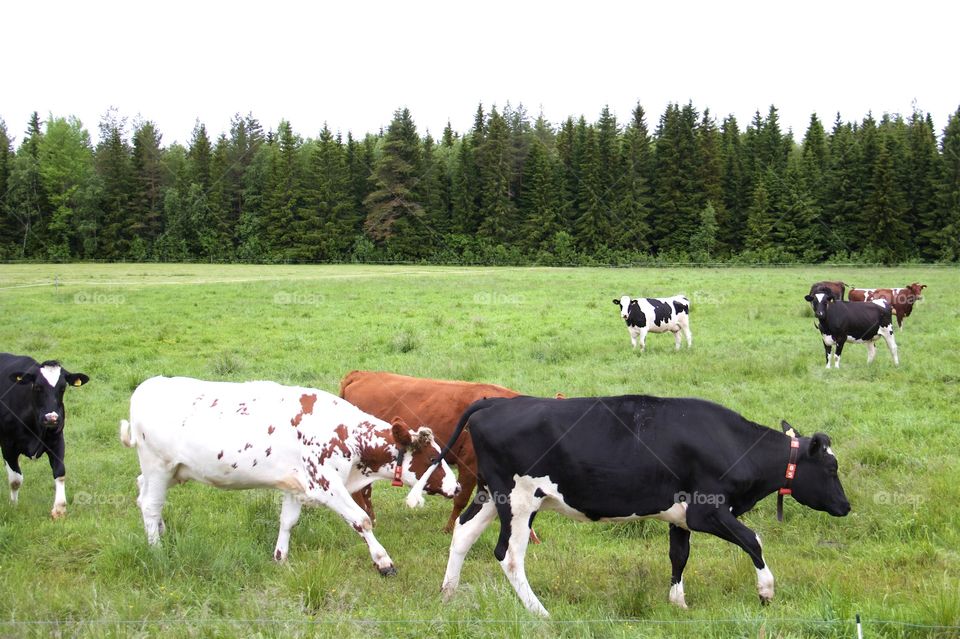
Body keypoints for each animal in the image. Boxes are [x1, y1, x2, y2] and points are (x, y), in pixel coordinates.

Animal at [0, 353, 89, 519]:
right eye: (37, 387)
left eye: (63, 388)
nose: (51, 418)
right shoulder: (8, 444)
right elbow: (15, 479)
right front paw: (13, 506)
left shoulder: (57, 440)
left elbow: (60, 472)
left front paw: (59, 509)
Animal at [120, 376, 458, 574]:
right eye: (432, 457)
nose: (455, 486)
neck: (345, 433)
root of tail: (147, 385)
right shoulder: (325, 484)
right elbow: (361, 520)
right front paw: (383, 561)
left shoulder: (295, 485)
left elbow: (288, 521)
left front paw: (280, 556)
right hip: (157, 465)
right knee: (150, 505)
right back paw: (157, 549)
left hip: (170, 470)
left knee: (143, 493)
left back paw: (162, 533)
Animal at [419, 395, 850, 616]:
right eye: (831, 467)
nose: (846, 506)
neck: (732, 442)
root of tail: (496, 402)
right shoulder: (707, 510)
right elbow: (753, 540)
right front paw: (765, 591)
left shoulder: (681, 517)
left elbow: (679, 555)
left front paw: (677, 602)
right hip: (521, 500)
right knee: (507, 555)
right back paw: (540, 613)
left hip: (492, 494)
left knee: (463, 532)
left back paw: (447, 594)